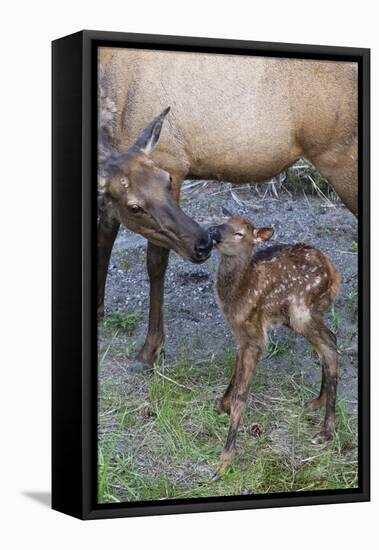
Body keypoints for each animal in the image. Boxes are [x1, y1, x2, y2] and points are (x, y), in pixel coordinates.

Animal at [98, 49, 360, 374]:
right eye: (134, 206)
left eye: (166, 179)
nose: (204, 243)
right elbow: (105, 233)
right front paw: (98, 309)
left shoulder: (172, 160)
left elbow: (155, 262)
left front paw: (151, 349)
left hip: (341, 158)